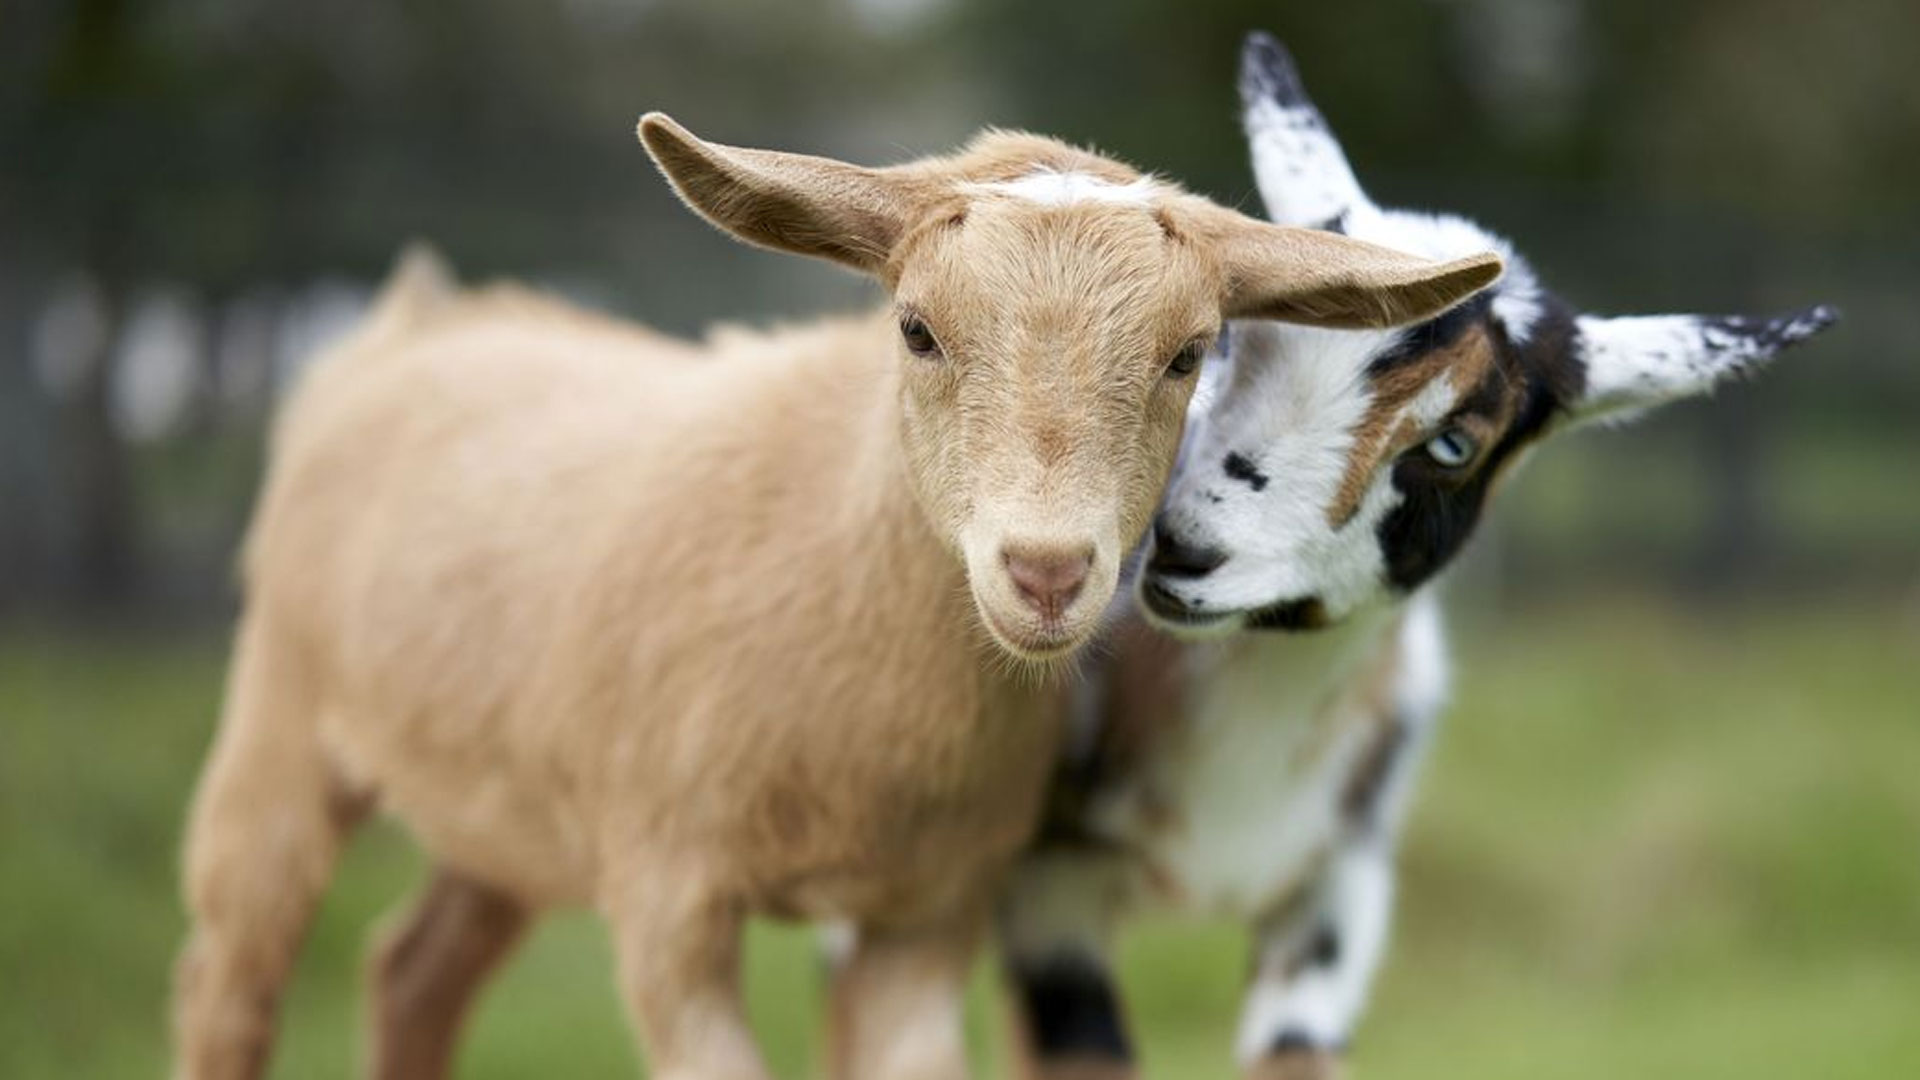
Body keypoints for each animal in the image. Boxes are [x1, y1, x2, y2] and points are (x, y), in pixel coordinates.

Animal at [169, 111, 1501, 1080]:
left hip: (513, 804)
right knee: (230, 979)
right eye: (915, 329)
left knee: (412, 969)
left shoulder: (930, 914)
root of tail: (414, 323)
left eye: (1187, 354)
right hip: (277, 715)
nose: (1046, 571)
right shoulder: (667, 897)